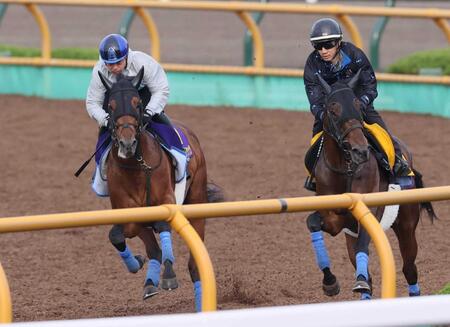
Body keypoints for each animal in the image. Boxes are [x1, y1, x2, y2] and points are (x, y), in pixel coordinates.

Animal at [100, 68, 223, 312]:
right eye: (111, 106)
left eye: (137, 103)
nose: (127, 143)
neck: (137, 165)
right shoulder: (131, 214)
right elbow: (117, 234)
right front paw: (137, 262)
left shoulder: (167, 200)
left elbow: (164, 225)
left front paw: (169, 275)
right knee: (153, 249)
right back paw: (149, 282)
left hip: (197, 203)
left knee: (194, 265)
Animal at [306, 71, 436, 300]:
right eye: (332, 110)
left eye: (358, 106)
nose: (360, 150)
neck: (345, 169)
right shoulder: (337, 219)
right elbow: (313, 221)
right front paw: (330, 282)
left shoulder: (369, 211)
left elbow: (364, 245)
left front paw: (358, 281)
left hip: (406, 225)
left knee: (409, 268)